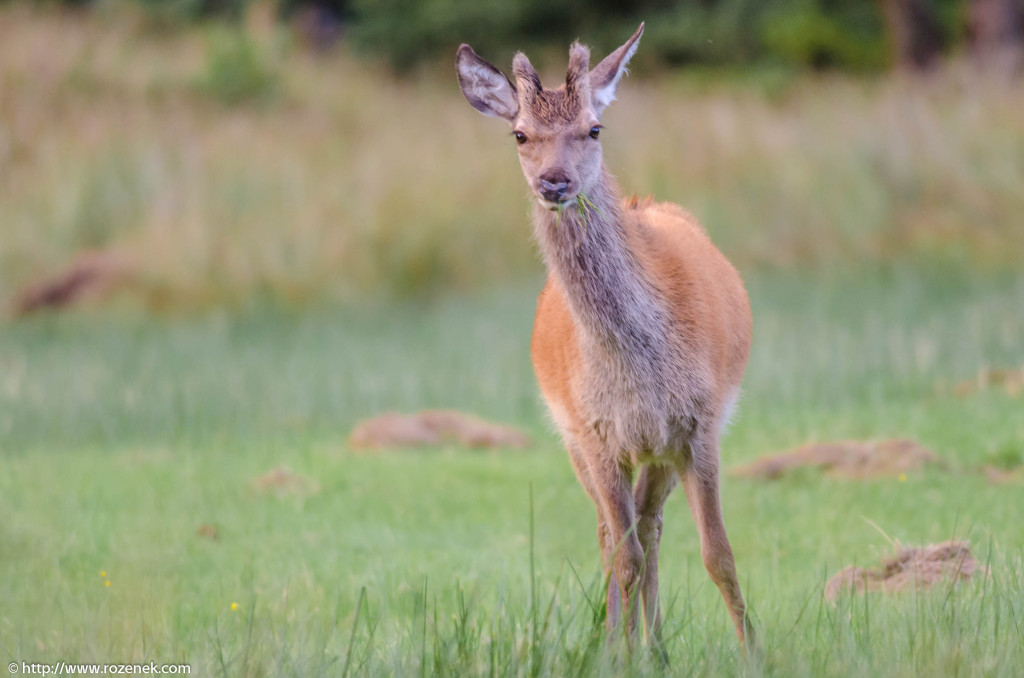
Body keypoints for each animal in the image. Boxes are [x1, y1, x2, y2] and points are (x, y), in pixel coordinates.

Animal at [460, 23, 757, 651]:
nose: (554, 181)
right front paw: (618, 655)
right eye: (519, 134)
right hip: (575, 440)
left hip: (661, 448)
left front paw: (755, 653)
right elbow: (624, 557)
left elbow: (718, 555)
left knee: (651, 525)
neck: (637, 365)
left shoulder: (699, 423)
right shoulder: (595, 432)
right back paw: (631, 645)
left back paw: (657, 649)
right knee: (614, 535)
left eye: (594, 128)